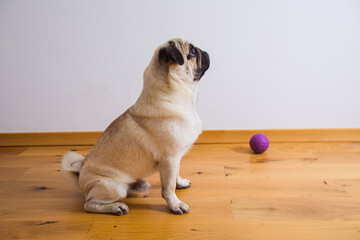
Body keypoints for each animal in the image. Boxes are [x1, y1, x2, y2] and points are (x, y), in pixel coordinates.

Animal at [60, 38, 210, 216]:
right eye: (192, 52)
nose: (204, 51)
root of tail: (80, 178)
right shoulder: (169, 159)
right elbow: (168, 188)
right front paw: (175, 204)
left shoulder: (176, 158)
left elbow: (176, 175)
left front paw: (180, 183)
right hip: (114, 187)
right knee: (89, 204)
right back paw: (116, 207)